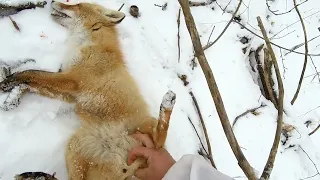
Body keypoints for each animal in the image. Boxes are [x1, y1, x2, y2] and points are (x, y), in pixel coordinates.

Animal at [0, 1, 176, 180]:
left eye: (77, 5)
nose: (52, 2)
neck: (89, 43)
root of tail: (126, 169)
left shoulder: (72, 80)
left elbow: (32, 73)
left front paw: (10, 81)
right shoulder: (69, 92)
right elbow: (31, 83)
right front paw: (12, 96)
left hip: (147, 130)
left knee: (159, 139)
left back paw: (167, 103)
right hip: (76, 148)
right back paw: (36, 175)